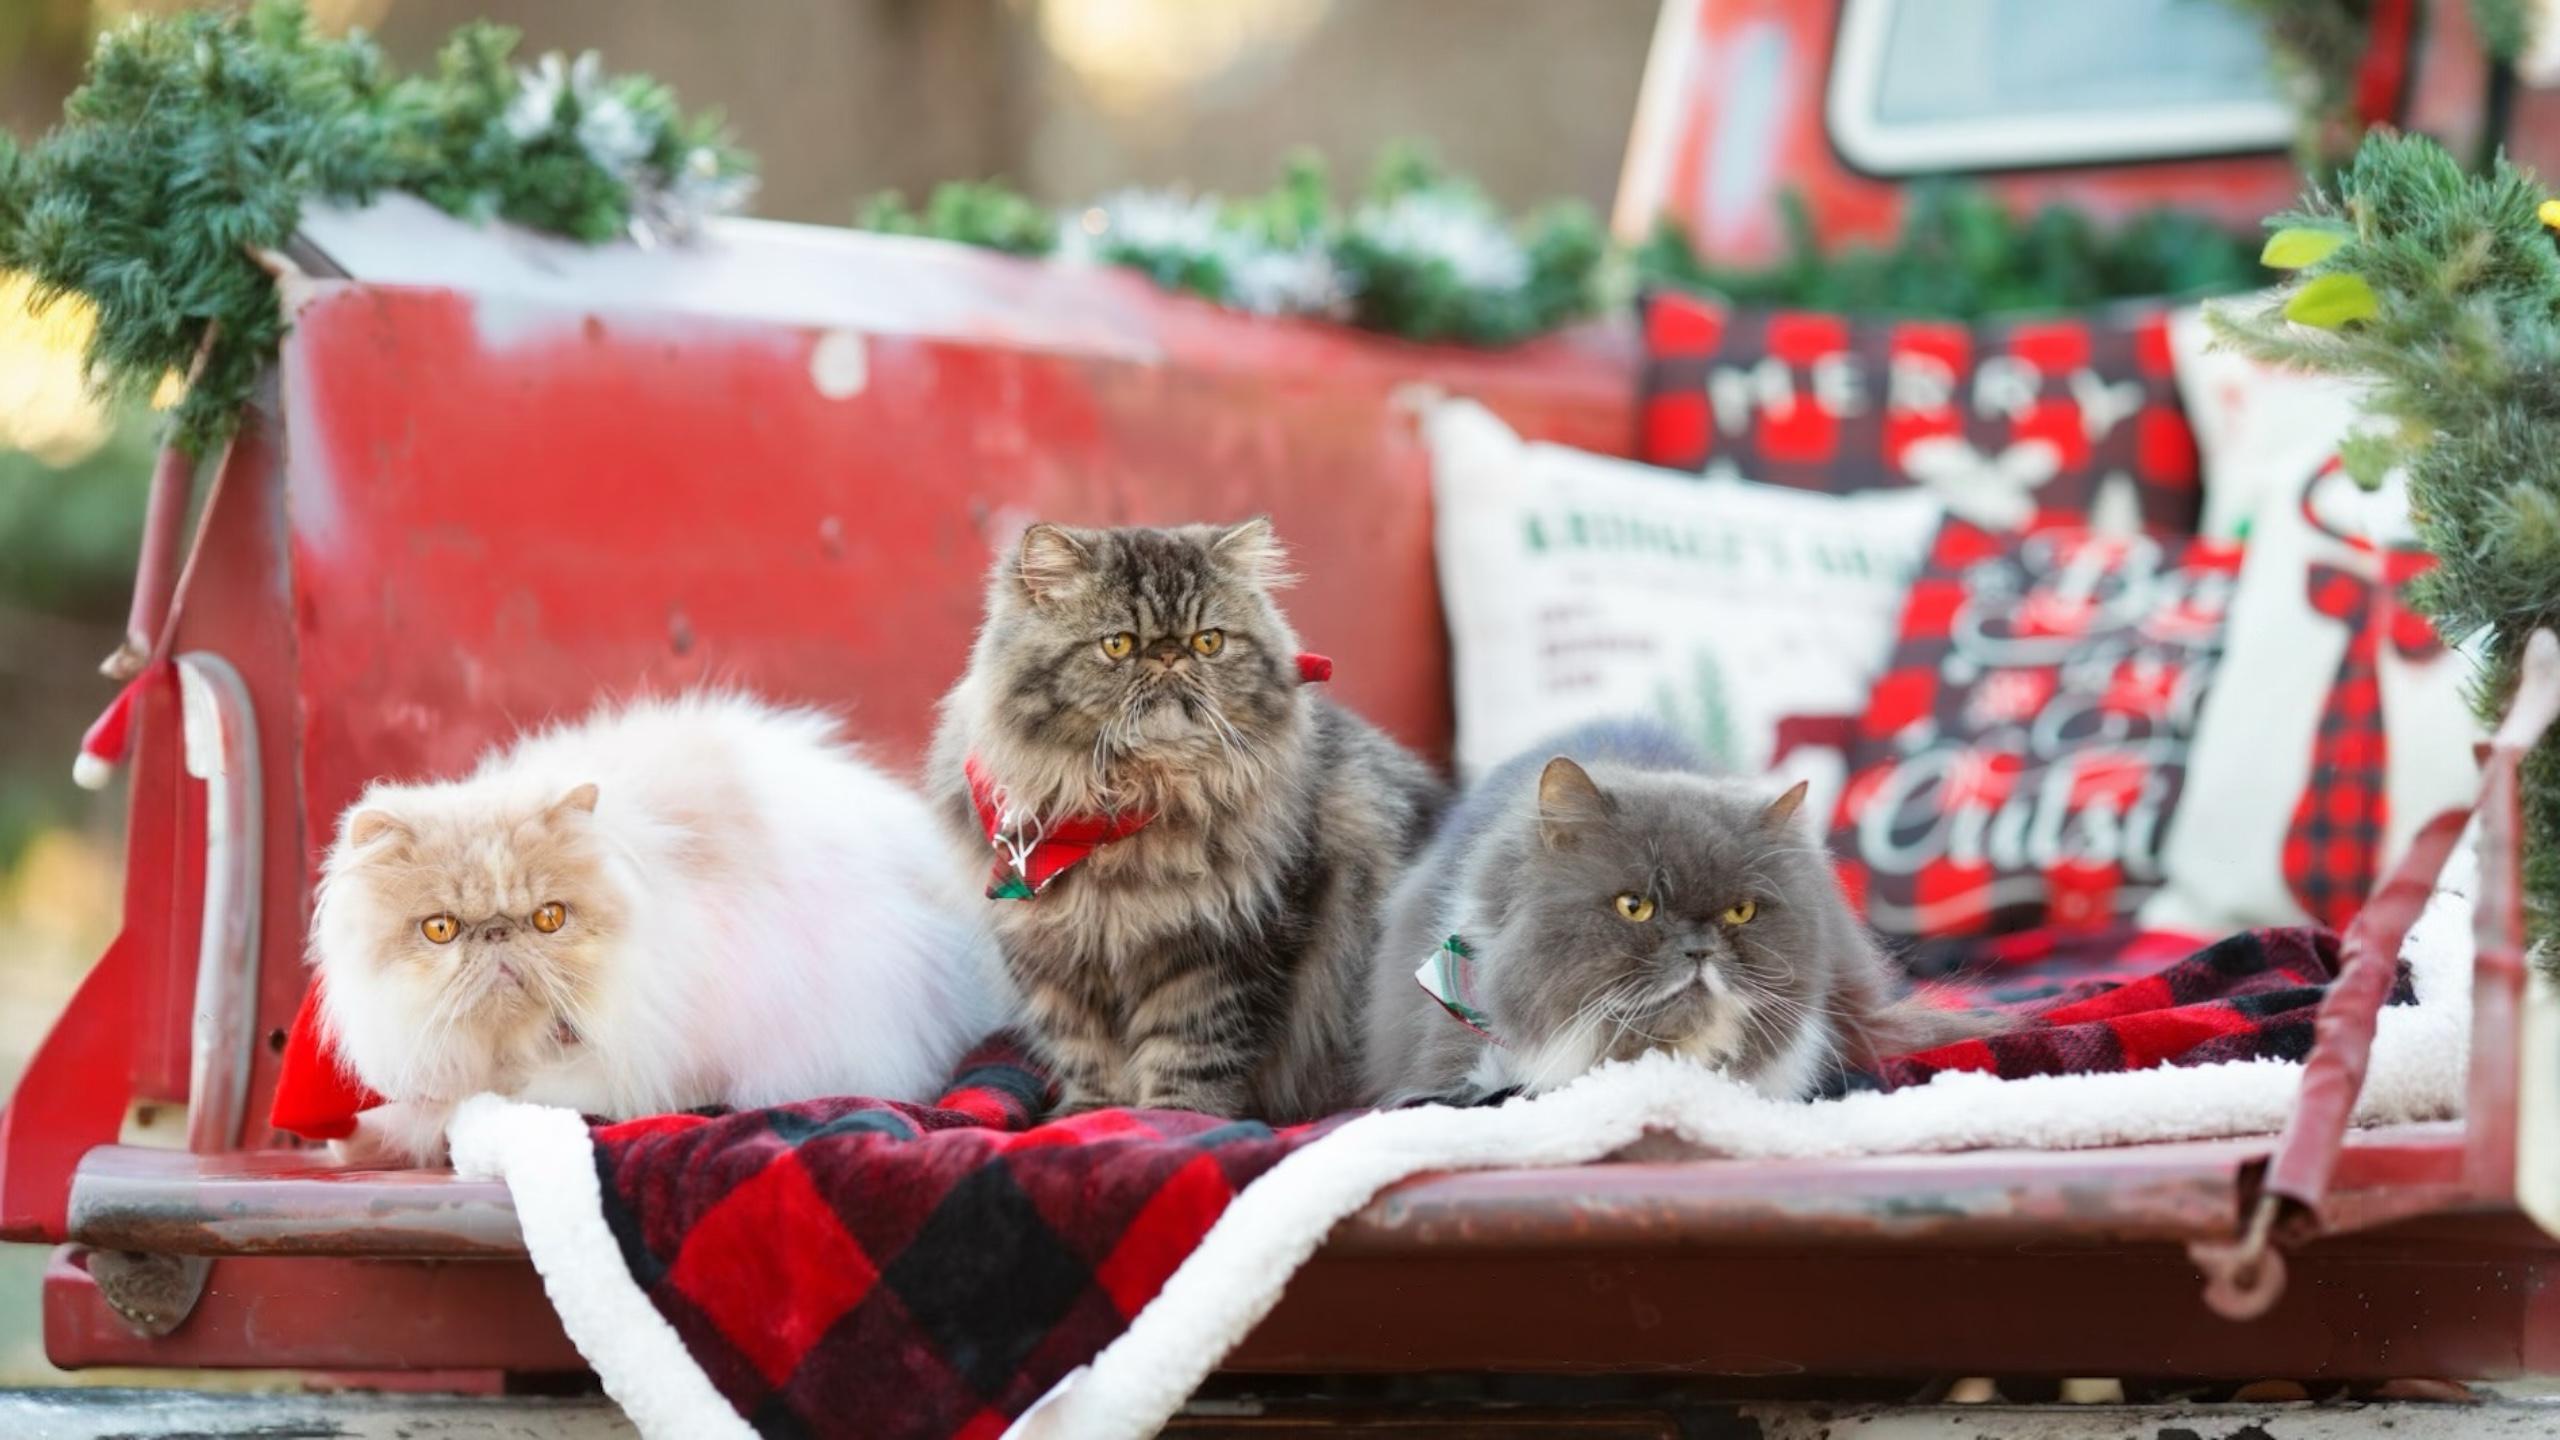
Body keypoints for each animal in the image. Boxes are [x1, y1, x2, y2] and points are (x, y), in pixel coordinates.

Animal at [931, 517, 1454, 1122]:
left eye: (1209, 641)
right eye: (1118, 644)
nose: (1168, 656)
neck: (1131, 801)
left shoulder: (1223, 949)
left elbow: (1191, 1050)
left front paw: (1171, 1117)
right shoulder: (1054, 962)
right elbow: (1085, 1053)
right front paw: (1093, 1114)